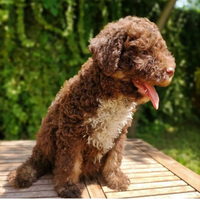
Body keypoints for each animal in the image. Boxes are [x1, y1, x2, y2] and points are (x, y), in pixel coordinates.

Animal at [7, 16, 175, 198]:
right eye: (144, 52)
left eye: (162, 50)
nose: (171, 71)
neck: (112, 93)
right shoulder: (71, 132)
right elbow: (69, 163)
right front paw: (67, 187)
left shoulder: (119, 133)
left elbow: (114, 158)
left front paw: (115, 178)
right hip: (46, 136)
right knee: (38, 160)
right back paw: (22, 174)